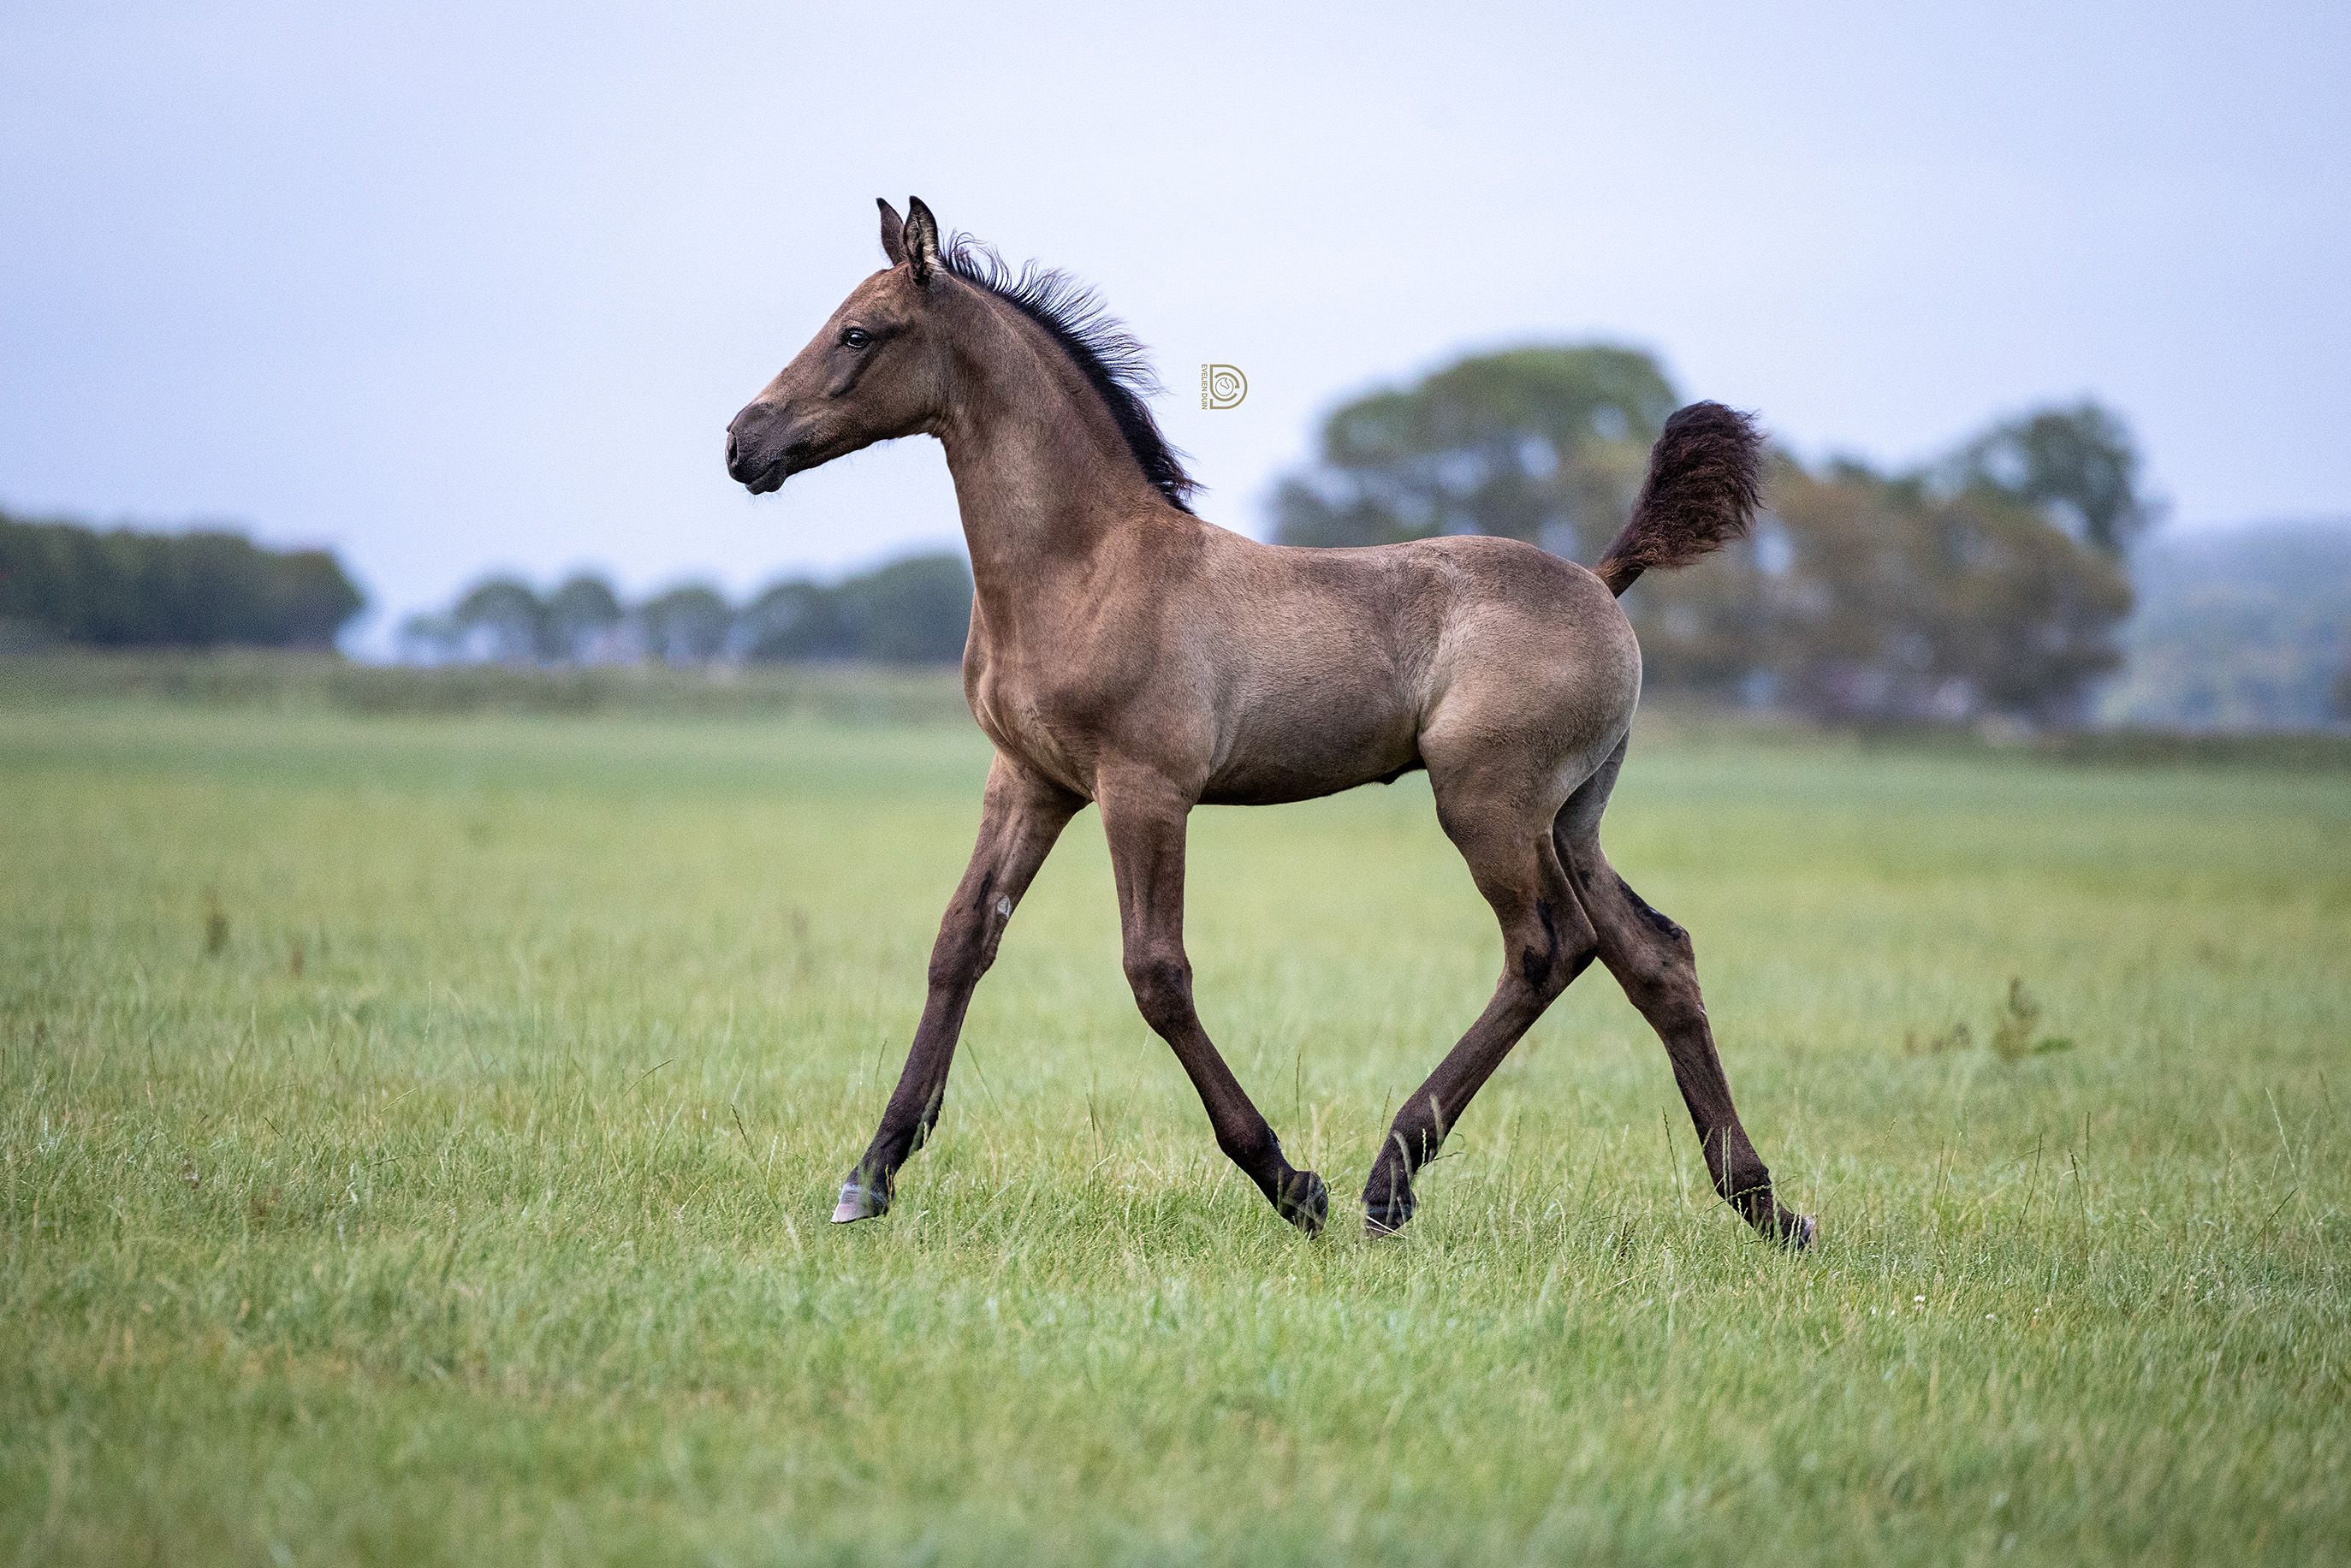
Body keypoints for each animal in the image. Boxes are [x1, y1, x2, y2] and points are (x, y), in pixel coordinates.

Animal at [726, 197, 1812, 1248]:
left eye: (858, 332)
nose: (741, 441)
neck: (1083, 568)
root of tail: (1598, 577)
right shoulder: (1029, 781)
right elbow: (960, 943)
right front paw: (868, 1175)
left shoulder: (1144, 790)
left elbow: (1156, 973)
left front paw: (1290, 1183)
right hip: (1570, 816)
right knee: (1653, 953)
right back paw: (1765, 1205)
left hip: (1487, 805)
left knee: (1547, 948)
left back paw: (1385, 1183)